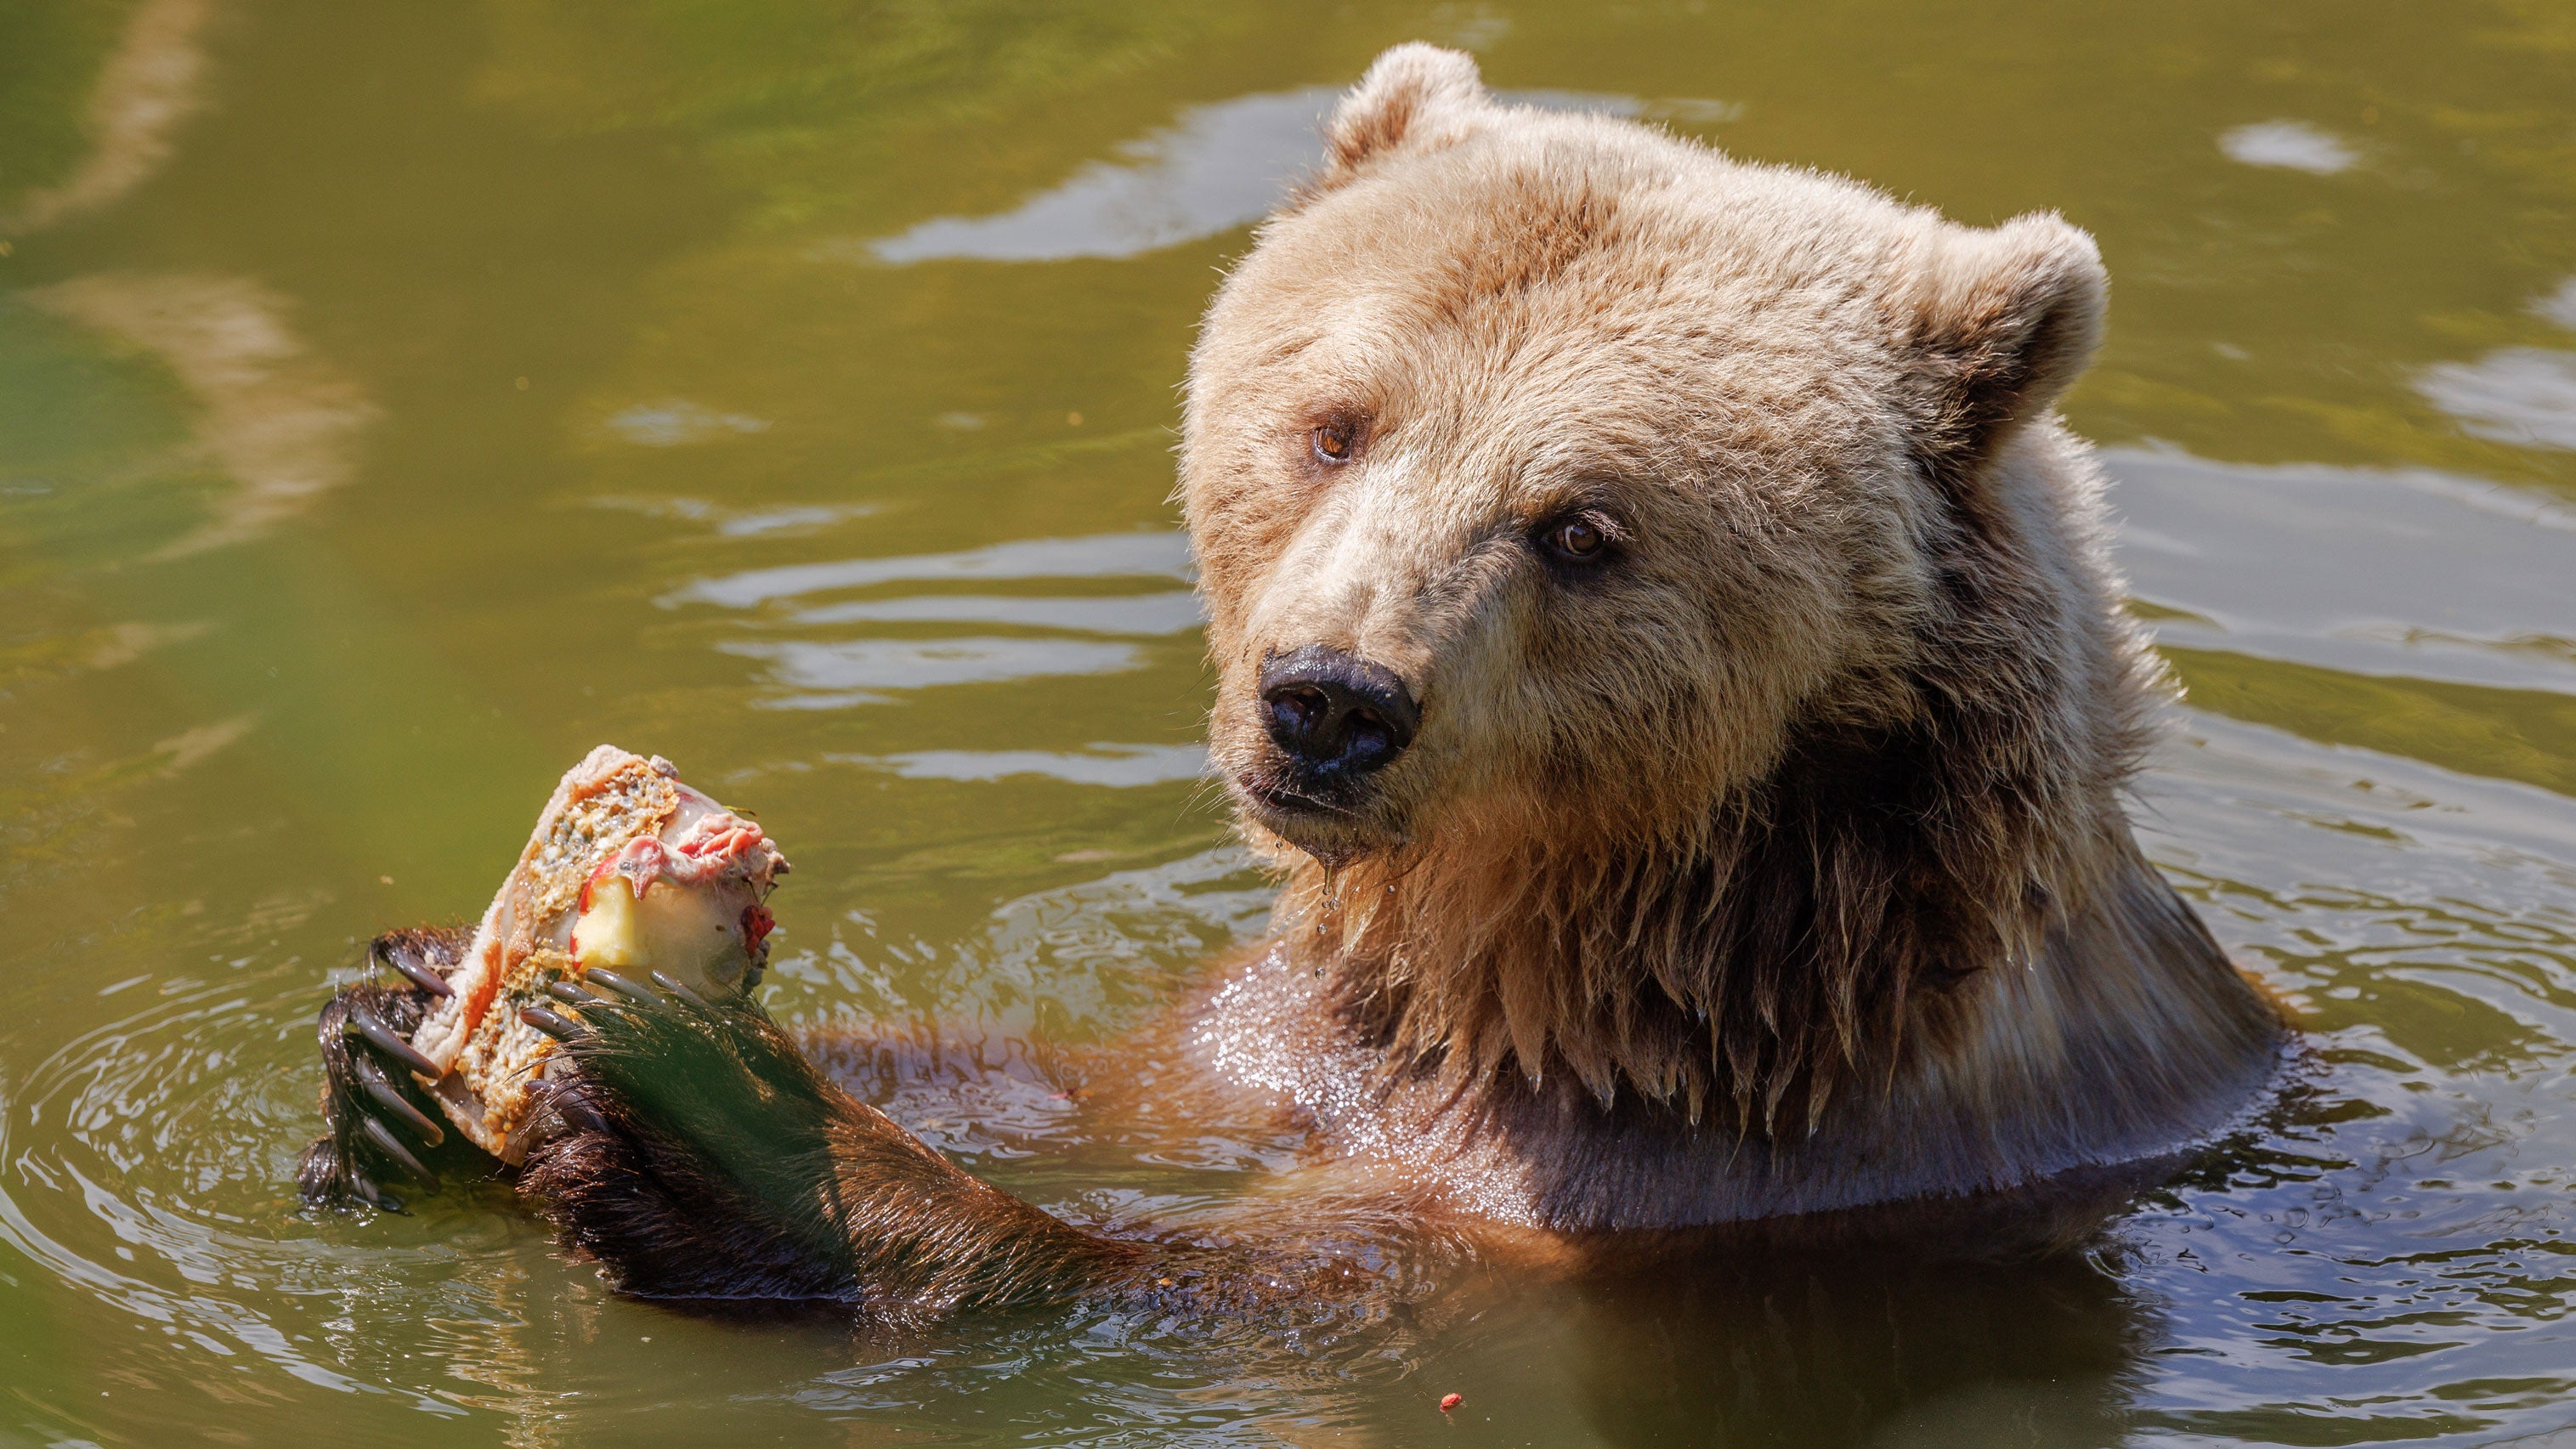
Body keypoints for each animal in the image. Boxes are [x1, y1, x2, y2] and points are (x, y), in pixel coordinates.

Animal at [302, 43, 2286, 1317]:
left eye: (1581, 526)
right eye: (1336, 420)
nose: (1327, 697)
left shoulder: (1753, 1182)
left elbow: (1255, 1276)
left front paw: (720, 1144)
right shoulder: (1291, 1036)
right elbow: (1105, 1082)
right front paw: (405, 1020)